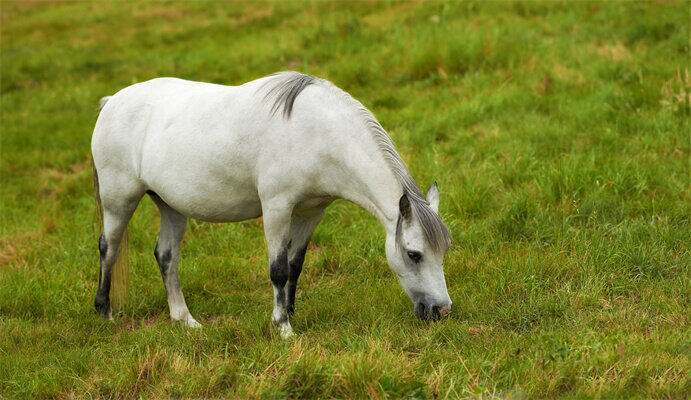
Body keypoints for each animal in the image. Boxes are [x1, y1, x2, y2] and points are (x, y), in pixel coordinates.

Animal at [92, 72, 454, 338]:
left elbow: (295, 265)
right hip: (118, 199)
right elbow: (278, 269)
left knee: (166, 256)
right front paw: (283, 328)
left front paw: (289, 312)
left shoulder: (311, 211)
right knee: (109, 247)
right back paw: (105, 313)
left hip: (171, 206)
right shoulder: (277, 208)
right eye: (413, 254)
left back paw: (185, 320)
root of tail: (112, 103)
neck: (317, 133)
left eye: (444, 251)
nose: (441, 310)